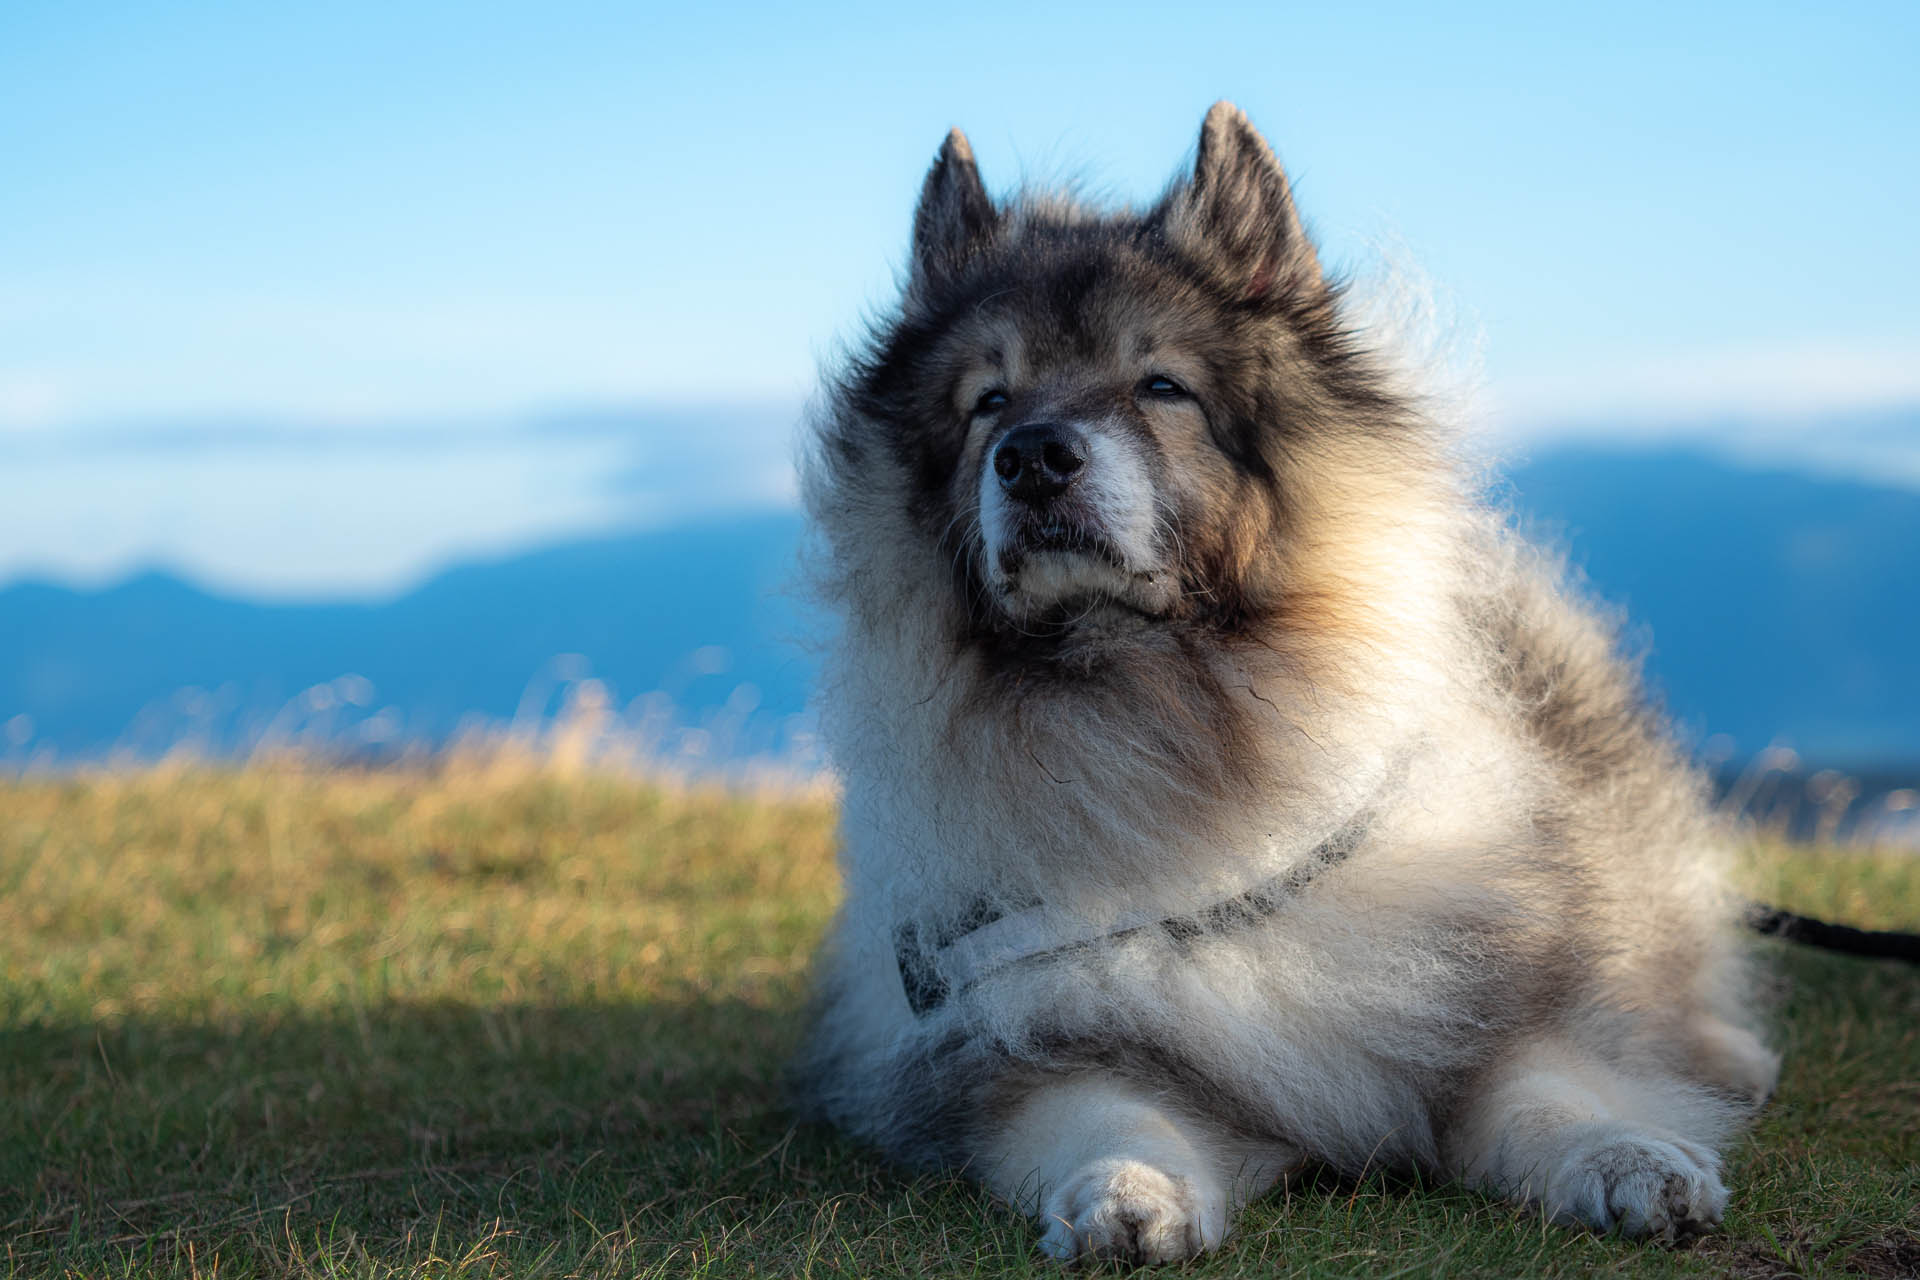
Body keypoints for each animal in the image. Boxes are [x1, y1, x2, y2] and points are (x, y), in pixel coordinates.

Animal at [787, 105, 1774, 1266]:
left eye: (1161, 386)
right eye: (989, 403)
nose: (1032, 456)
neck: (1169, 727)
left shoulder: (1498, 1012)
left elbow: (1555, 1094)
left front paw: (1633, 1159)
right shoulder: (1023, 1053)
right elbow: (1105, 1115)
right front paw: (1124, 1195)